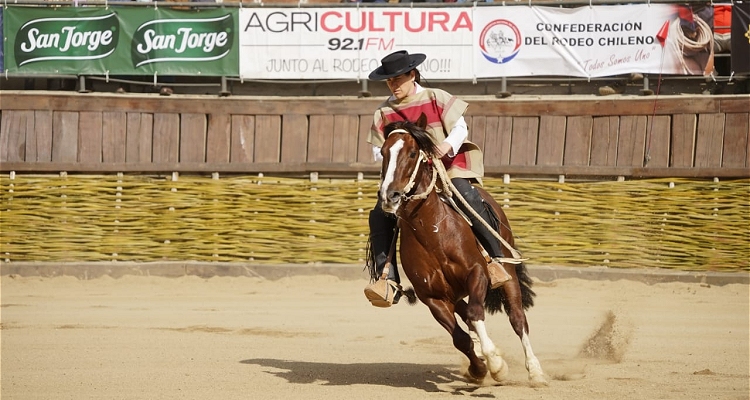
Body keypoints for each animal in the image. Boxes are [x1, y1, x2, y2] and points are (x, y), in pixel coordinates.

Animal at [376, 111, 548, 384]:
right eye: (383, 152)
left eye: (413, 153)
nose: (389, 196)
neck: (434, 234)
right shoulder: (432, 297)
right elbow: (460, 337)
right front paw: (479, 368)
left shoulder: (477, 273)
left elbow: (477, 314)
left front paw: (495, 363)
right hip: (454, 295)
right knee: (467, 315)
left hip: (508, 275)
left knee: (517, 318)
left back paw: (535, 371)